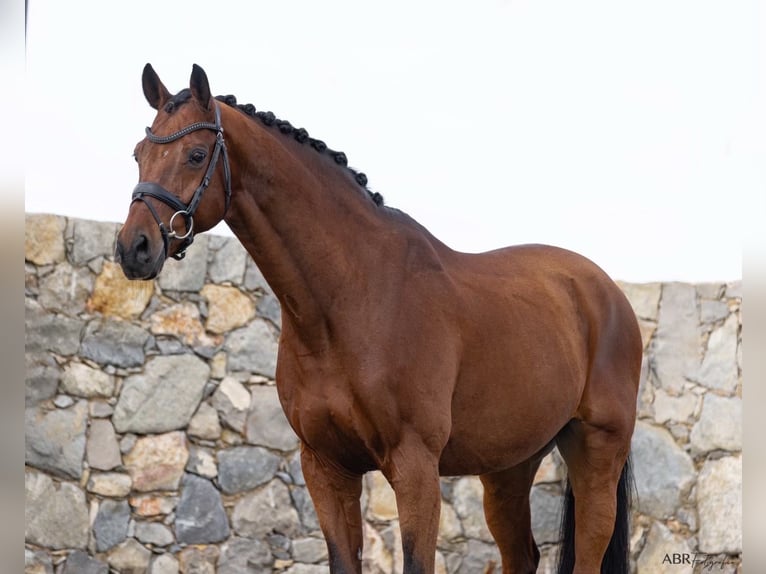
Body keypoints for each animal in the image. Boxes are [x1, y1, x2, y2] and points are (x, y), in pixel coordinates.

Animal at [115, 64, 642, 574]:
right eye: (139, 154)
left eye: (196, 154)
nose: (133, 248)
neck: (351, 301)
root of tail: (606, 292)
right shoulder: (326, 467)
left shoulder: (415, 467)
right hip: (509, 464)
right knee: (521, 554)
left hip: (597, 448)